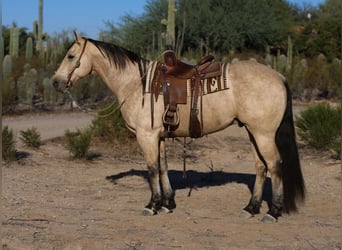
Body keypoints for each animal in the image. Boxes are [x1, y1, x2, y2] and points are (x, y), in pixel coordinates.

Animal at [52, 32, 304, 223]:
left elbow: (152, 168)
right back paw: (250, 208)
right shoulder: (159, 136)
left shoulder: (146, 136)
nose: (55, 82)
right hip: (253, 133)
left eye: (71, 56)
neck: (137, 83)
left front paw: (152, 205)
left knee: (274, 165)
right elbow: (163, 167)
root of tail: (279, 76)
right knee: (261, 167)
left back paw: (273, 212)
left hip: (264, 135)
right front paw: (167, 203)